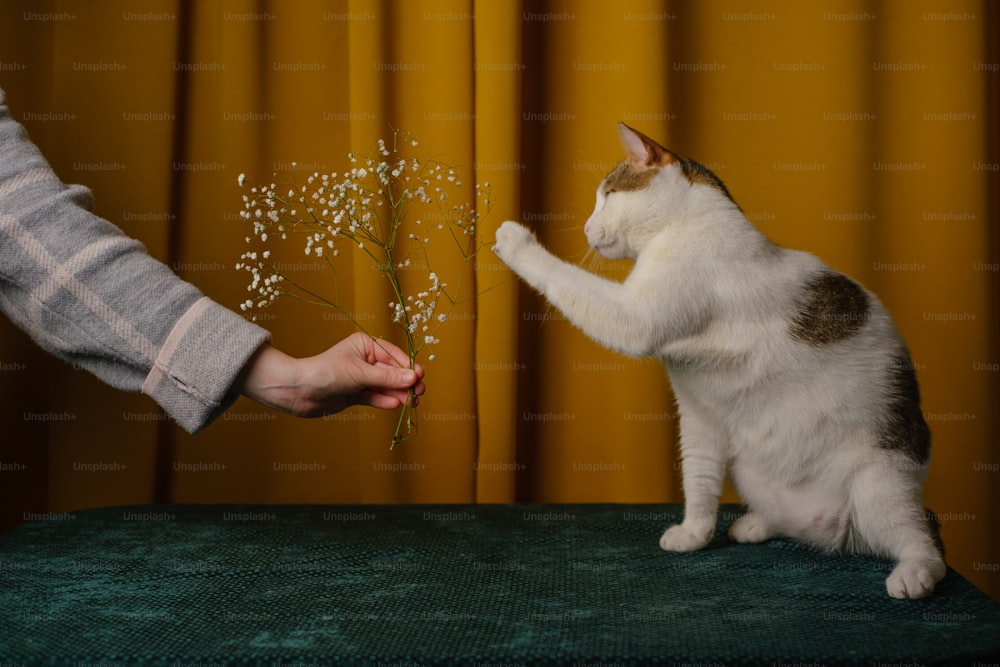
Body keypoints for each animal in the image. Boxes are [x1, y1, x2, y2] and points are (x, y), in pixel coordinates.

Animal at [496, 124, 948, 600]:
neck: (683, 226)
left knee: (925, 544)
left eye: (608, 194)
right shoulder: (699, 416)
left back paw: (913, 573)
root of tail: (835, 531)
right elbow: (699, 482)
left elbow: (566, 279)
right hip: (752, 468)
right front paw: (694, 534)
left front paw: (517, 241)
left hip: (879, 488)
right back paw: (757, 525)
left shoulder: (636, 319)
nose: (585, 227)